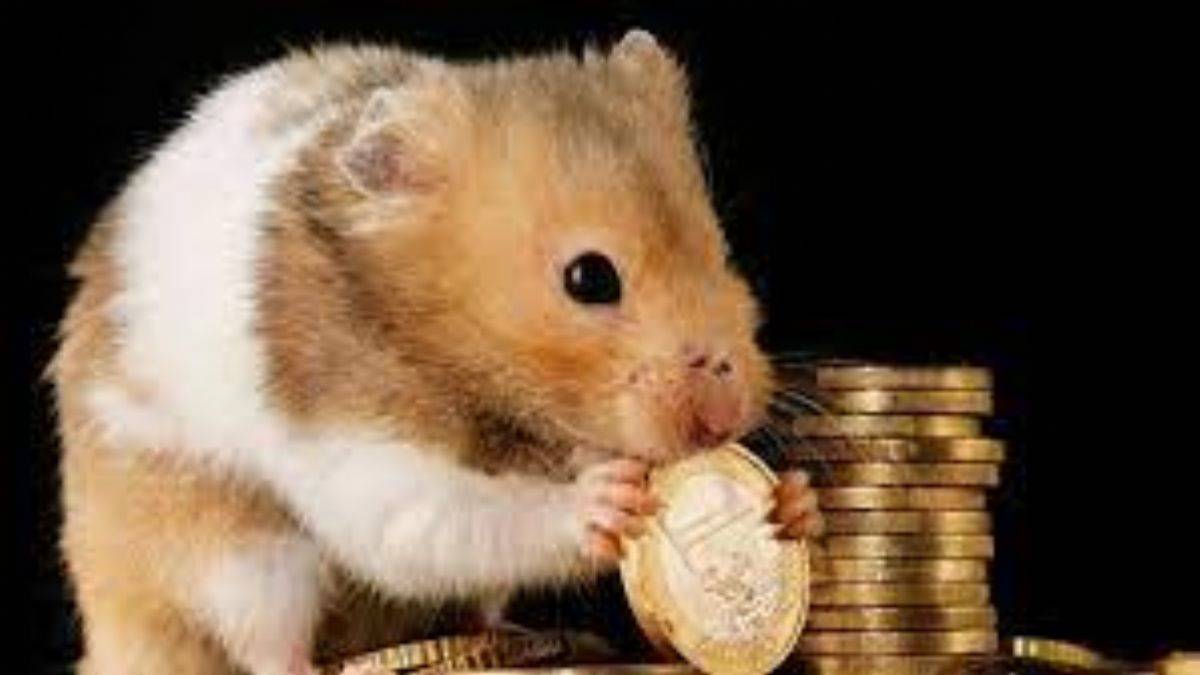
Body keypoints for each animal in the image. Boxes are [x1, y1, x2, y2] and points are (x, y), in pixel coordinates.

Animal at [49, 30, 824, 675]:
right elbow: (442, 516)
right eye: (589, 278)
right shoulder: (353, 447)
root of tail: (111, 628)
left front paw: (794, 503)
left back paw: (516, 638)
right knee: (262, 640)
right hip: (233, 553)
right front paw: (605, 501)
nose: (727, 413)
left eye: (722, 252)